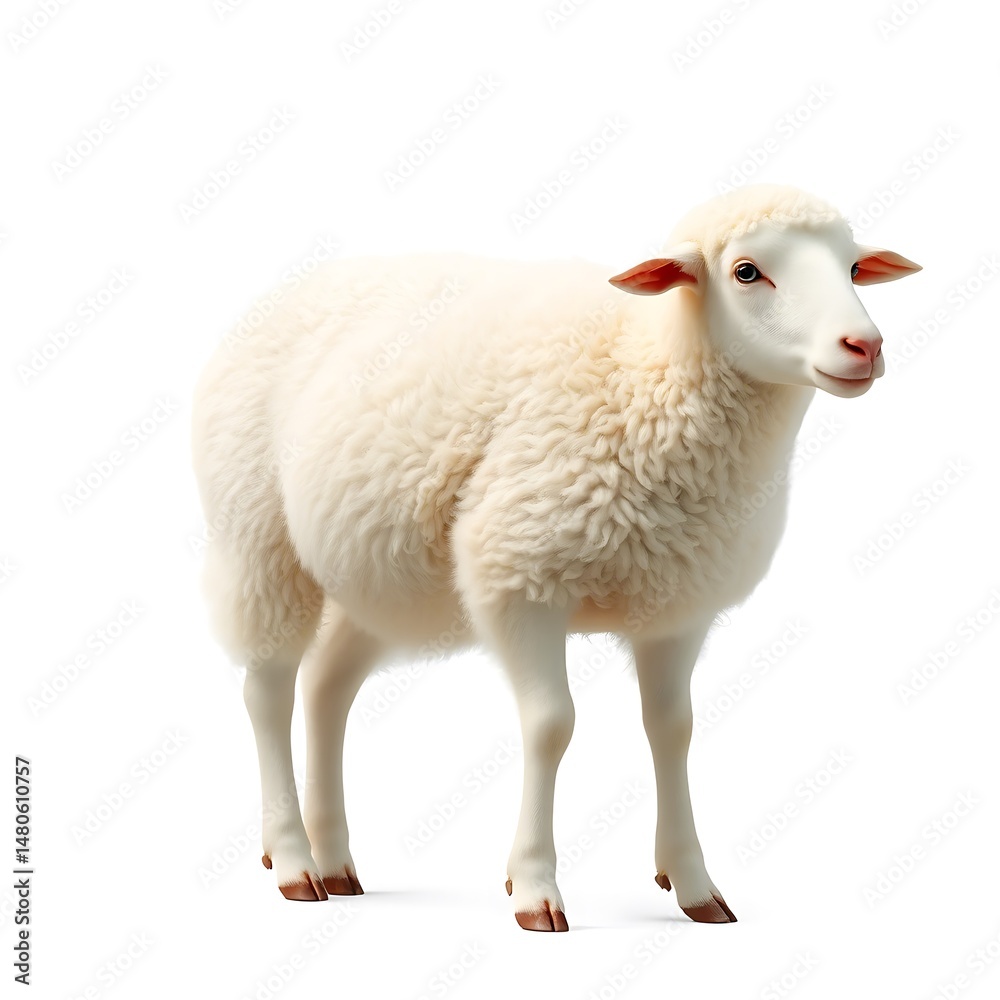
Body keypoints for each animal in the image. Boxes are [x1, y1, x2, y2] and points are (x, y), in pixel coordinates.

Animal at [191, 183, 920, 931]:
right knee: (268, 692)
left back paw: (335, 860)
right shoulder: (520, 576)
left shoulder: (677, 607)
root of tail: (285, 293)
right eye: (747, 271)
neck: (643, 372)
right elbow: (551, 727)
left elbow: (673, 731)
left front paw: (693, 884)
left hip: (378, 574)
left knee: (326, 688)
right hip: (257, 539)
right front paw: (535, 887)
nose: (864, 346)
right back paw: (293, 860)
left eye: (854, 268)